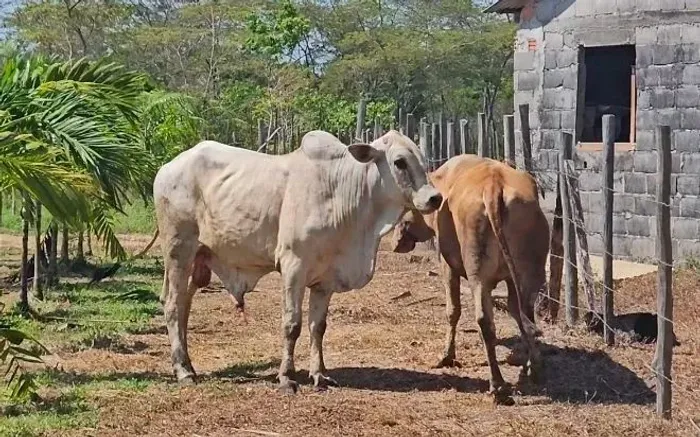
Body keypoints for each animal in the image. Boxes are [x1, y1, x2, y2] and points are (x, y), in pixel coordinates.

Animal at [153, 130, 442, 393]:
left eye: (423, 159)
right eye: (400, 162)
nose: (435, 198)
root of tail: (166, 168)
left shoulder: (325, 280)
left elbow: (318, 327)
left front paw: (319, 375)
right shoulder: (294, 267)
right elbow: (292, 325)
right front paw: (287, 377)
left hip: (199, 259)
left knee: (184, 306)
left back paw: (188, 365)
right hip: (178, 250)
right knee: (172, 305)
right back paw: (182, 371)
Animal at [391, 154, 550, 405]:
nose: (396, 241)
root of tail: (494, 185)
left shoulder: (447, 265)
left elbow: (452, 310)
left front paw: (446, 356)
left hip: (478, 275)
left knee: (485, 320)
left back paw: (498, 386)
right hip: (529, 273)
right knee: (525, 314)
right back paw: (533, 367)